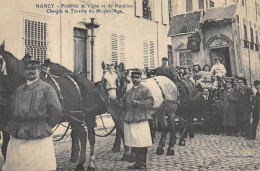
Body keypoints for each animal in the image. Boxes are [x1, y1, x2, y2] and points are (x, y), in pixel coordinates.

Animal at [0, 41, 108, 171]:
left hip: (87, 115)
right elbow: (5, 148)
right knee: (81, 134)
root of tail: (89, 82)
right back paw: (80, 163)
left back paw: (88, 163)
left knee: (89, 136)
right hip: (75, 117)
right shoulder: (5, 125)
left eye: (0, 60)